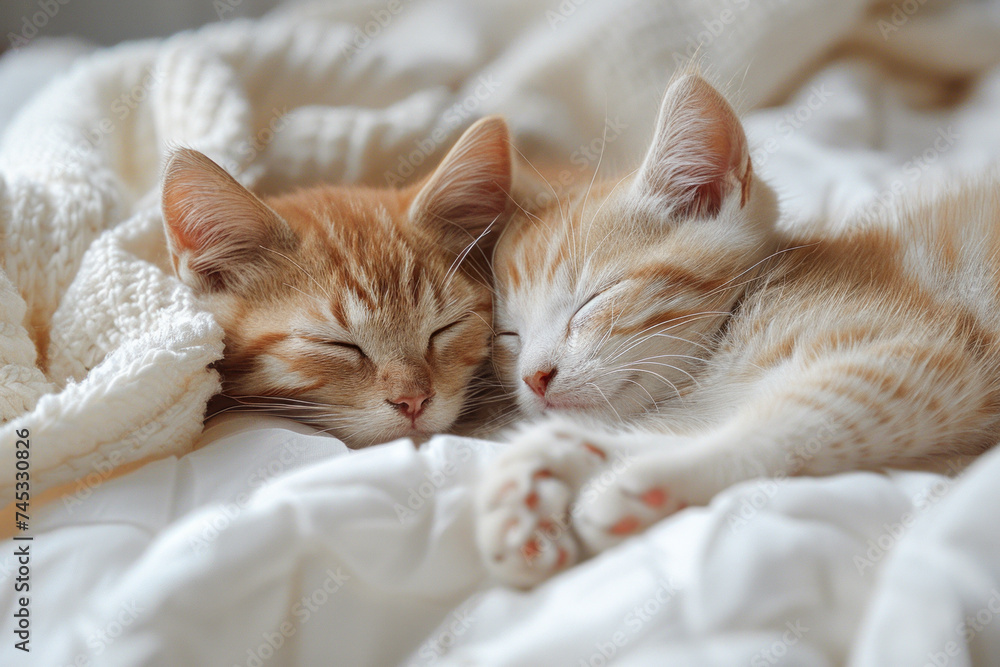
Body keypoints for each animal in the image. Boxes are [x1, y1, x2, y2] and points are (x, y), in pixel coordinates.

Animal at [474, 70, 1000, 588]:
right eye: (508, 337)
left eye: (595, 299)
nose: (535, 377)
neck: (717, 357)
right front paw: (551, 468)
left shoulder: (930, 355)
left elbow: (795, 419)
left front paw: (655, 475)